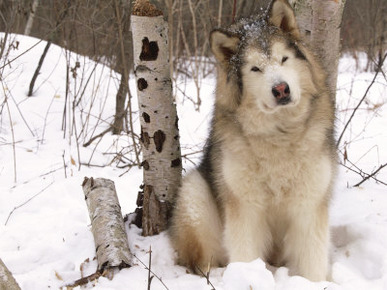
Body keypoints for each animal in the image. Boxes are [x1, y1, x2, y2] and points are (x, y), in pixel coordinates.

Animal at [170, 0, 336, 280]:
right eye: (255, 69)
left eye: (284, 59)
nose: (281, 89)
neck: (279, 135)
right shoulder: (245, 208)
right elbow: (245, 254)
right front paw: (246, 277)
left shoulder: (309, 205)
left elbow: (312, 260)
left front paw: (313, 283)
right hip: (196, 194)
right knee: (201, 261)